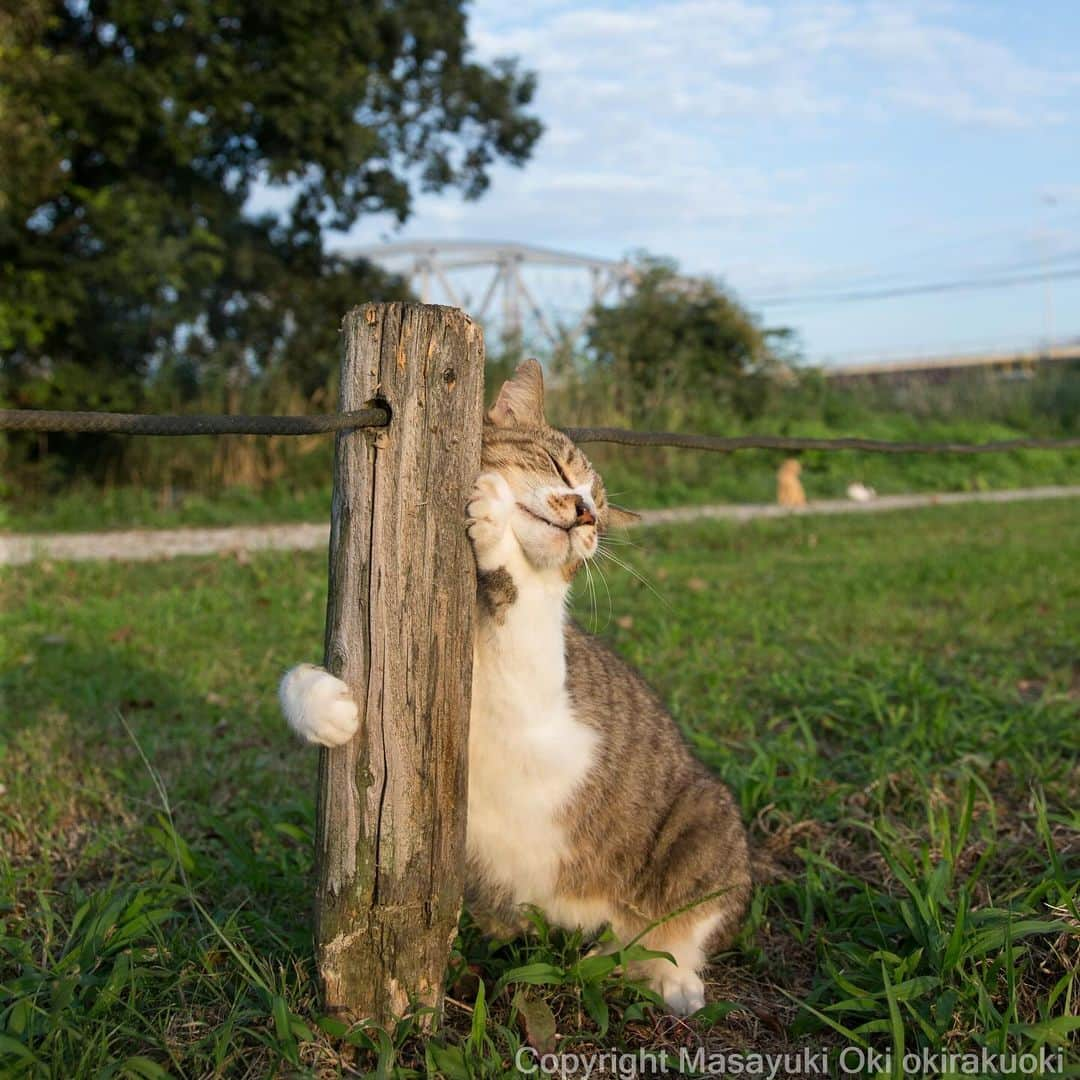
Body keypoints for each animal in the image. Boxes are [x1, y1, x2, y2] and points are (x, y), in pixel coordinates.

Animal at [278, 360, 751, 1010]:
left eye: (599, 511)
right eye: (558, 466)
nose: (586, 515)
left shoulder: (534, 687)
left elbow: (516, 592)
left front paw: (496, 524)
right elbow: (293, 682)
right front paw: (324, 706)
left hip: (706, 824)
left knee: (685, 927)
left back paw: (667, 976)